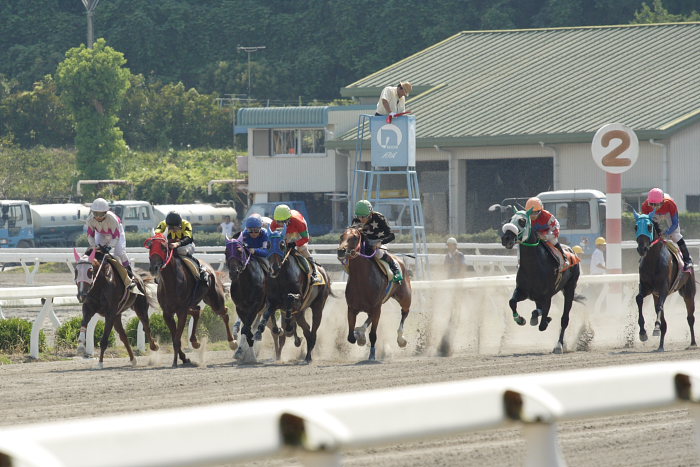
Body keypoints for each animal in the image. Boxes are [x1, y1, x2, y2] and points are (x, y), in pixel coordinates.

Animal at [144, 232, 235, 368]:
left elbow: (177, 338)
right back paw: (195, 341)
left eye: (163, 247)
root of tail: (209, 267)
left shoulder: (181, 311)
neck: (171, 282)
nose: (153, 268)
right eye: (150, 247)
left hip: (214, 300)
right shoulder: (167, 313)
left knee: (224, 313)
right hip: (193, 304)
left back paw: (232, 342)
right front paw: (183, 358)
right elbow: (175, 337)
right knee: (197, 311)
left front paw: (176, 361)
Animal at [256, 229, 332, 364]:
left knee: (313, 330)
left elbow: (291, 299)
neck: (280, 277)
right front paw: (263, 331)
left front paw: (288, 328)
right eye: (268, 245)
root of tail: (323, 272)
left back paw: (308, 356)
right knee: (307, 330)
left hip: (318, 306)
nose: (274, 268)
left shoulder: (299, 300)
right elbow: (270, 315)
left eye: (282, 245)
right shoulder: (272, 301)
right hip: (301, 312)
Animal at [334, 227, 410, 362]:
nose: (341, 251)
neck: (362, 280)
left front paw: (372, 355)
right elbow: (350, 336)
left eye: (354, 237)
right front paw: (359, 336)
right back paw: (361, 332)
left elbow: (373, 334)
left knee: (404, 312)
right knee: (368, 319)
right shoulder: (352, 309)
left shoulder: (376, 308)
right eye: (341, 236)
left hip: (405, 298)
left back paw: (401, 339)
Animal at [498, 209, 584, 354]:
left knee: (564, 319)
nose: (506, 239)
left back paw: (559, 345)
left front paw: (545, 320)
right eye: (509, 220)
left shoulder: (547, 295)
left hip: (569, 288)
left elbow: (543, 323)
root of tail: (571, 251)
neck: (534, 266)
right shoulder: (523, 291)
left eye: (522, 221)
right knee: (538, 309)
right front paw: (520, 319)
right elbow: (512, 302)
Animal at [636, 211, 696, 352]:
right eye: (636, 227)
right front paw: (642, 332)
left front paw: (656, 327)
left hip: (688, 292)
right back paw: (660, 346)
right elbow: (639, 299)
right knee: (665, 322)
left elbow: (659, 307)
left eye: (649, 227)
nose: (642, 248)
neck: (653, 260)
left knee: (690, 318)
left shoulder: (663, 288)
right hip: (655, 295)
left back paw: (693, 343)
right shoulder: (647, 288)